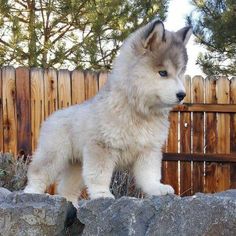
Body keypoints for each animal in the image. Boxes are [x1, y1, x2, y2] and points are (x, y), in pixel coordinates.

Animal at [24, 19, 192, 206]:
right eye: (163, 73)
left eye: (180, 73)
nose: (182, 95)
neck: (138, 111)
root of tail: (53, 115)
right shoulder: (101, 147)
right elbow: (99, 175)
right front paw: (102, 193)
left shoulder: (148, 150)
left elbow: (150, 175)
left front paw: (157, 188)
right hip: (54, 155)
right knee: (38, 173)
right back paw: (32, 193)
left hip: (76, 165)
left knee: (66, 189)